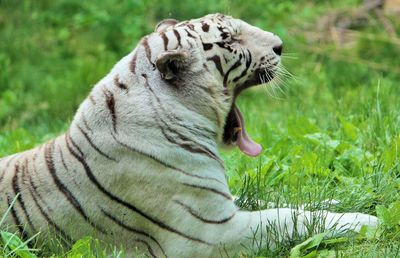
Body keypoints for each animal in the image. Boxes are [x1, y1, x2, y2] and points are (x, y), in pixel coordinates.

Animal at [0, 14, 376, 258]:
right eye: (229, 40)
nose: (280, 45)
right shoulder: (209, 232)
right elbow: (286, 219)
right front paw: (365, 220)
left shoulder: (219, 203)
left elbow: (279, 203)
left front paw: (339, 201)